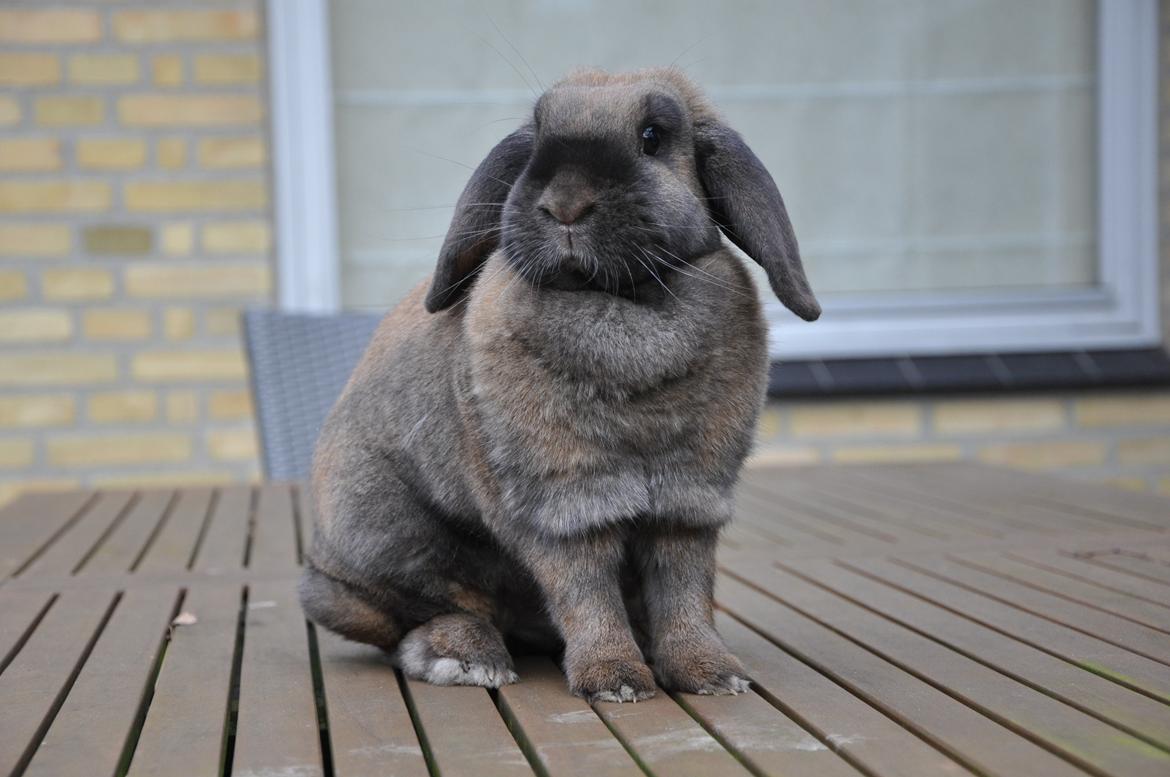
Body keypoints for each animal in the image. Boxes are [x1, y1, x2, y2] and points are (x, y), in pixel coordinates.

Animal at [297, 66, 819, 702]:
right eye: (538, 141)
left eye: (653, 137)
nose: (564, 205)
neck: (617, 297)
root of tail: (320, 572)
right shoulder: (565, 502)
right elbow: (585, 588)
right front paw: (614, 680)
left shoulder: (689, 500)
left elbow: (685, 589)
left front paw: (712, 674)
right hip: (388, 546)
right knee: (427, 616)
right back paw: (468, 660)